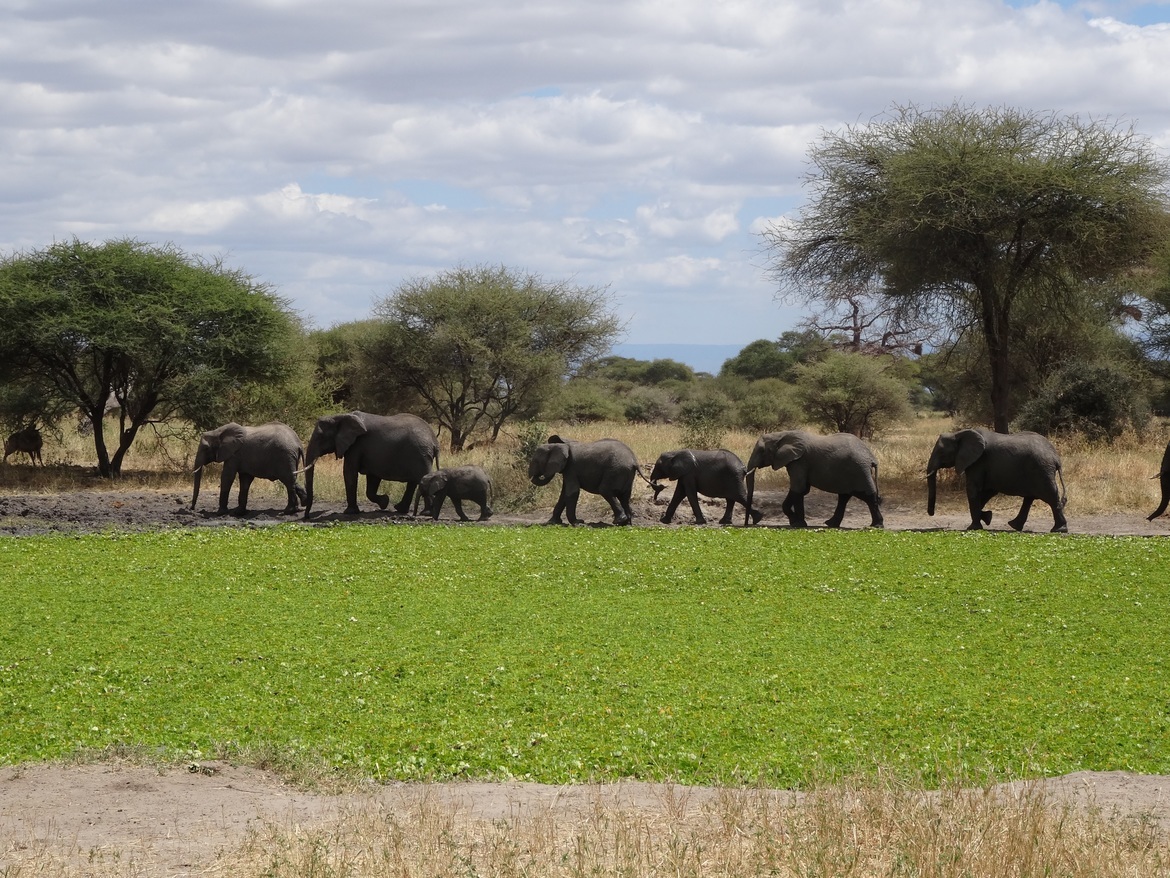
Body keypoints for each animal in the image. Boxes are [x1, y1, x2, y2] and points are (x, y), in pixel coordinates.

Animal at [303, 411, 439, 516]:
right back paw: (400, 509)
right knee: (413, 483)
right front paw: (384, 502)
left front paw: (350, 512)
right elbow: (372, 479)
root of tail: (434, 441)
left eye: (320, 437)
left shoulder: (356, 445)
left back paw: (426, 513)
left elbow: (349, 472)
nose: (306, 517)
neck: (340, 416)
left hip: (421, 453)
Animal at [745, 430, 883, 528]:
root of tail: (872, 458)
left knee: (868, 496)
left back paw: (876, 526)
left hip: (859, 471)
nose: (747, 524)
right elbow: (802, 490)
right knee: (844, 497)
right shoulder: (796, 462)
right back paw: (831, 524)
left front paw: (797, 524)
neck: (780, 435)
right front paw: (798, 523)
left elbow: (798, 488)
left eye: (762, 450)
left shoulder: (799, 461)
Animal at [926, 428, 1067, 532]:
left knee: (1050, 496)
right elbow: (987, 492)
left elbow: (973, 489)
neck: (958, 434)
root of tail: (1056, 458)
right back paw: (1014, 526)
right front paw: (987, 517)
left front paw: (973, 527)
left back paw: (1059, 530)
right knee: (1030, 498)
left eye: (941, 452)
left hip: (1041, 470)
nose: (931, 514)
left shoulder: (978, 461)